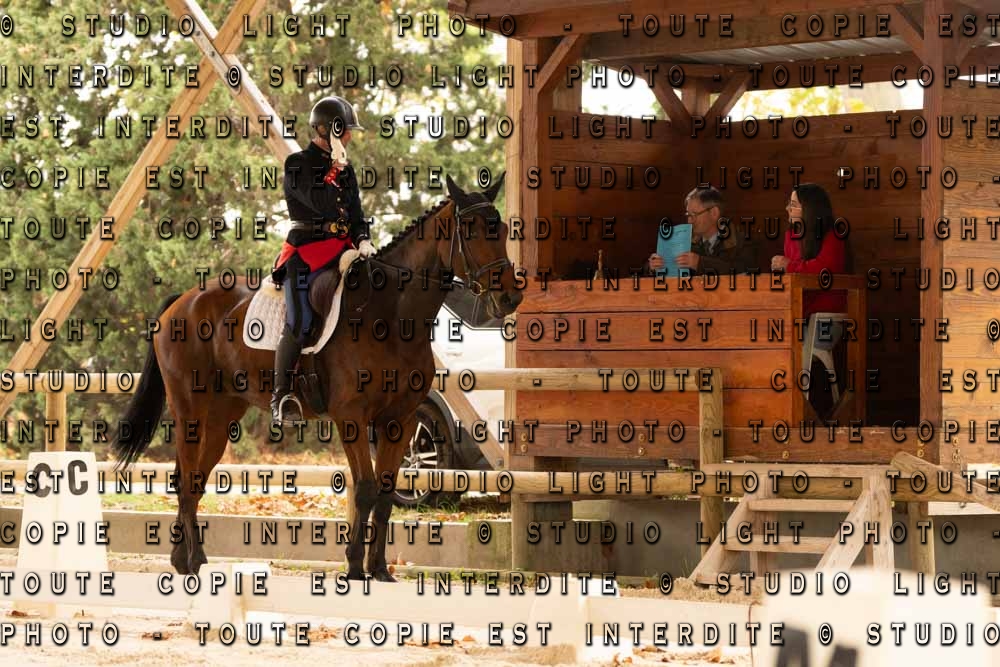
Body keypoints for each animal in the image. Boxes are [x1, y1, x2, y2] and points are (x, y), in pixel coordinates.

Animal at [110, 173, 522, 582]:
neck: (390, 314)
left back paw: (184, 560)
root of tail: (182, 302)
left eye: (501, 229)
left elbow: (385, 494)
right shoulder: (351, 416)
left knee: (193, 480)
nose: (510, 298)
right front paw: (354, 568)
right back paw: (193, 561)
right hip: (190, 410)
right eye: (471, 229)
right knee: (186, 481)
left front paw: (380, 570)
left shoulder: (400, 421)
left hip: (221, 416)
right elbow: (366, 489)